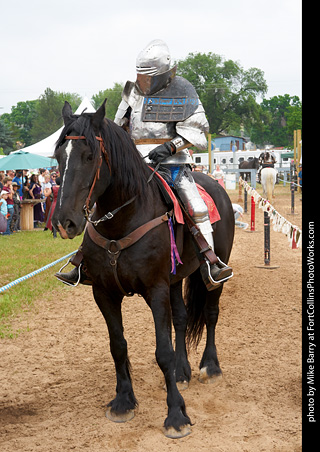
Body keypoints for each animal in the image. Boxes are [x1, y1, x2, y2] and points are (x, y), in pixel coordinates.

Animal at [51, 100, 234, 440]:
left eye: (89, 156)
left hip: (213, 272)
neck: (124, 219)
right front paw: (124, 401)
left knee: (211, 312)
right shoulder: (105, 294)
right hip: (175, 280)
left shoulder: (155, 290)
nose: (64, 222)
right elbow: (118, 346)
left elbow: (162, 350)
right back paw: (182, 371)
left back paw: (210, 366)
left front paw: (176, 415)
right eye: (59, 157)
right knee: (181, 318)